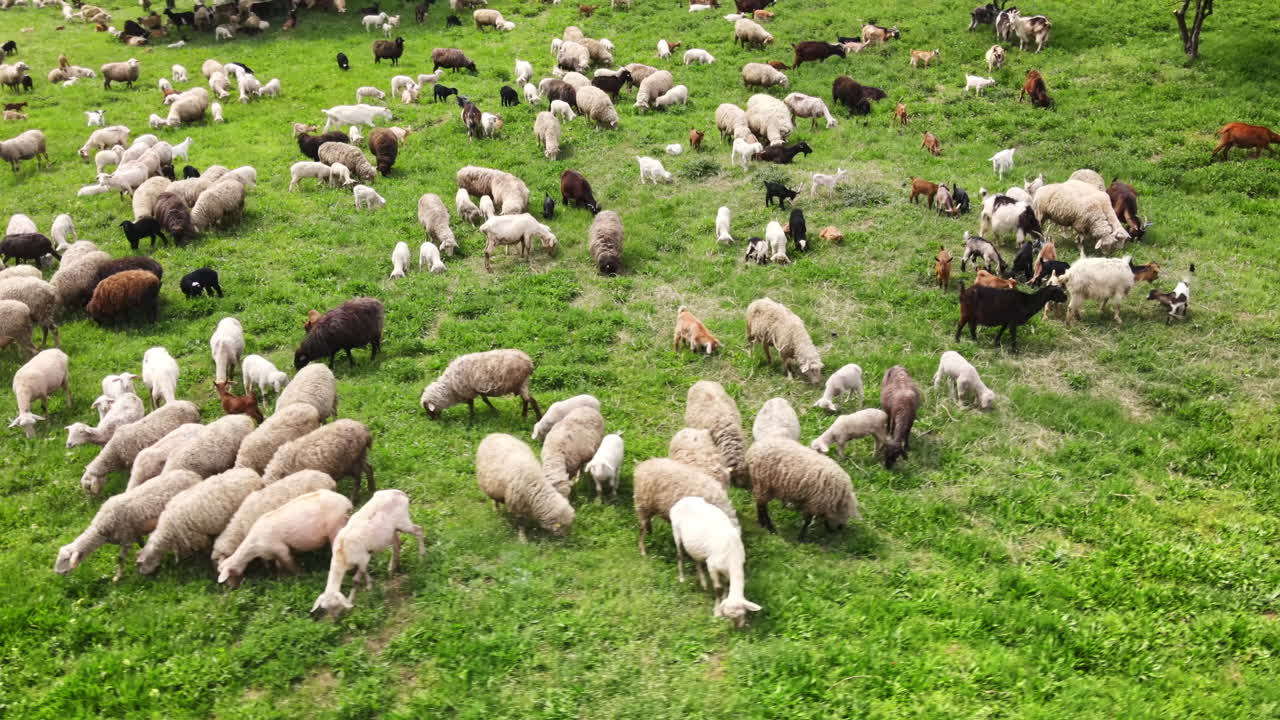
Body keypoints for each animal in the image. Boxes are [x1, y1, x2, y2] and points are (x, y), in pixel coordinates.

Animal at [56, 470, 202, 580]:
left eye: (66, 560)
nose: (57, 573)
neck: (101, 529)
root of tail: (194, 475)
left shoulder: (126, 537)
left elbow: (120, 559)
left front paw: (117, 577)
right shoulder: (134, 533)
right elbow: (142, 545)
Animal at [217, 489, 353, 587]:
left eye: (229, 574)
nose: (232, 588)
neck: (253, 547)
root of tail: (347, 503)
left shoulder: (281, 549)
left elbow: (290, 564)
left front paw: (301, 576)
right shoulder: (274, 553)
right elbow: (279, 566)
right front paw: (281, 579)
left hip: (336, 527)